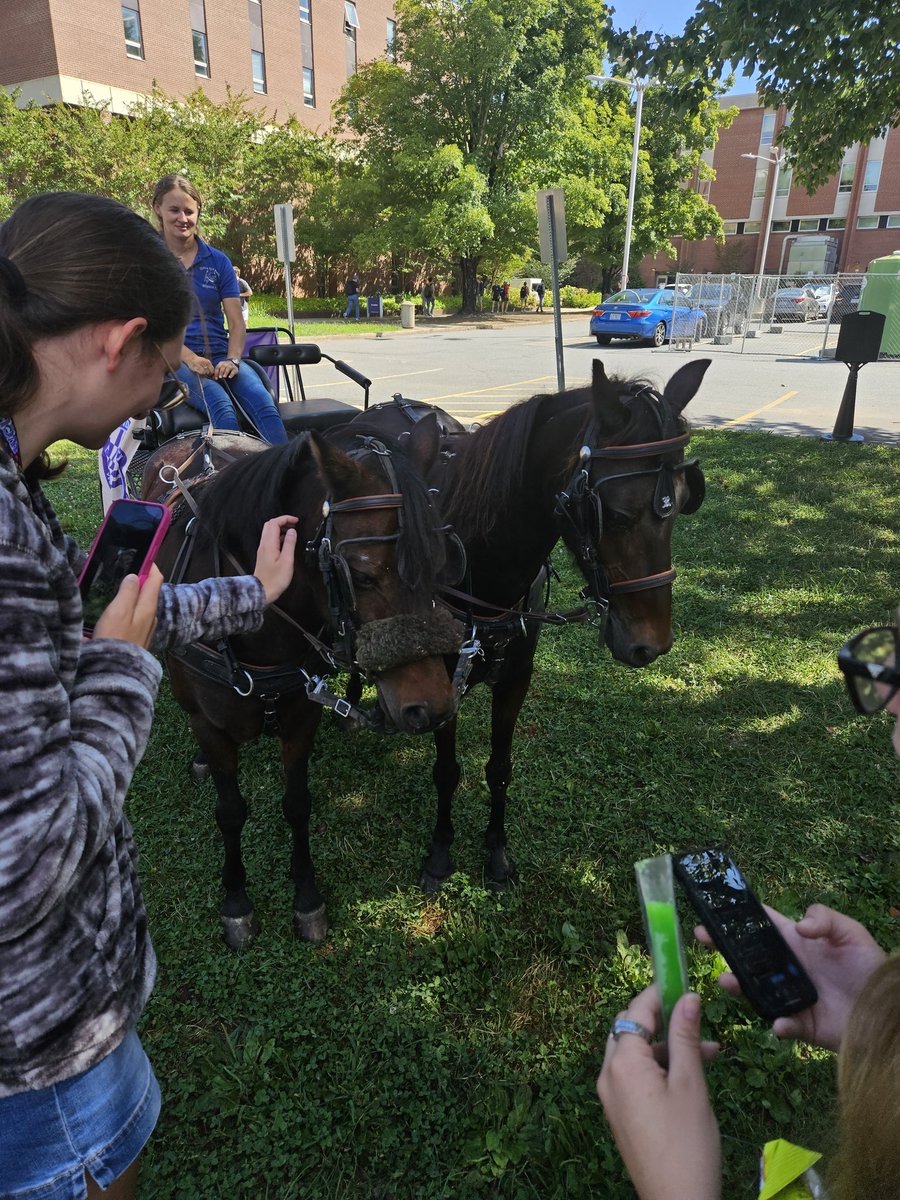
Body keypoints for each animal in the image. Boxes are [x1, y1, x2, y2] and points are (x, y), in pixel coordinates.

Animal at [142, 422, 465, 945]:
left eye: (440, 564)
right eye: (362, 575)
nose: (434, 706)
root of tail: (200, 435)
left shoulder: (301, 716)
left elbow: (297, 804)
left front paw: (306, 896)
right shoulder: (213, 727)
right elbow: (229, 812)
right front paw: (237, 901)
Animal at [340, 360, 710, 897]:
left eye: (683, 502)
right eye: (618, 515)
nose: (652, 645)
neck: (481, 559)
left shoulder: (516, 676)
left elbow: (499, 768)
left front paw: (496, 850)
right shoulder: (443, 680)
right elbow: (446, 771)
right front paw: (441, 851)